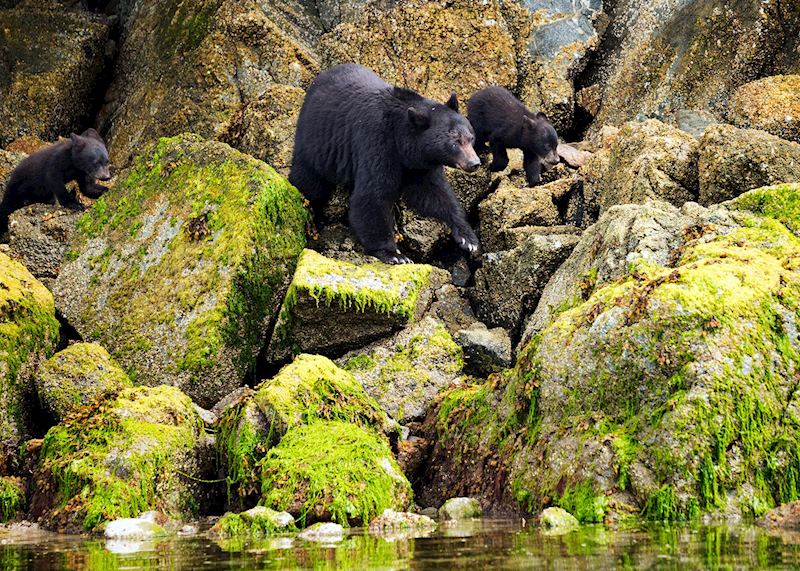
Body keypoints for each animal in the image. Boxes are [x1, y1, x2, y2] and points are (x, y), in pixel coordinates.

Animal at [289, 64, 481, 264]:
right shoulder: (377, 141)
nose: (475, 163)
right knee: (310, 183)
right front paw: (394, 254)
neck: (400, 137)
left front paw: (467, 237)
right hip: (315, 142)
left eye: (471, 137)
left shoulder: (419, 164)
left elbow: (434, 192)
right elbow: (373, 194)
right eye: (455, 142)